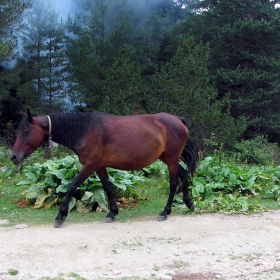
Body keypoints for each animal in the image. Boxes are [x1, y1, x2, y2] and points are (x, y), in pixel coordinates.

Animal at [10, 109, 198, 228]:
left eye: (25, 130)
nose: (13, 157)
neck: (85, 130)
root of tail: (178, 120)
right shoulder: (99, 166)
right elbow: (107, 188)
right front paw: (112, 213)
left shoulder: (90, 165)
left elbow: (71, 186)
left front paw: (60, 216)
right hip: (166, 157)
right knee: (183, 175)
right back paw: (189, 203)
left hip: (172, 158)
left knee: (173, 183)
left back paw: (165, 212)